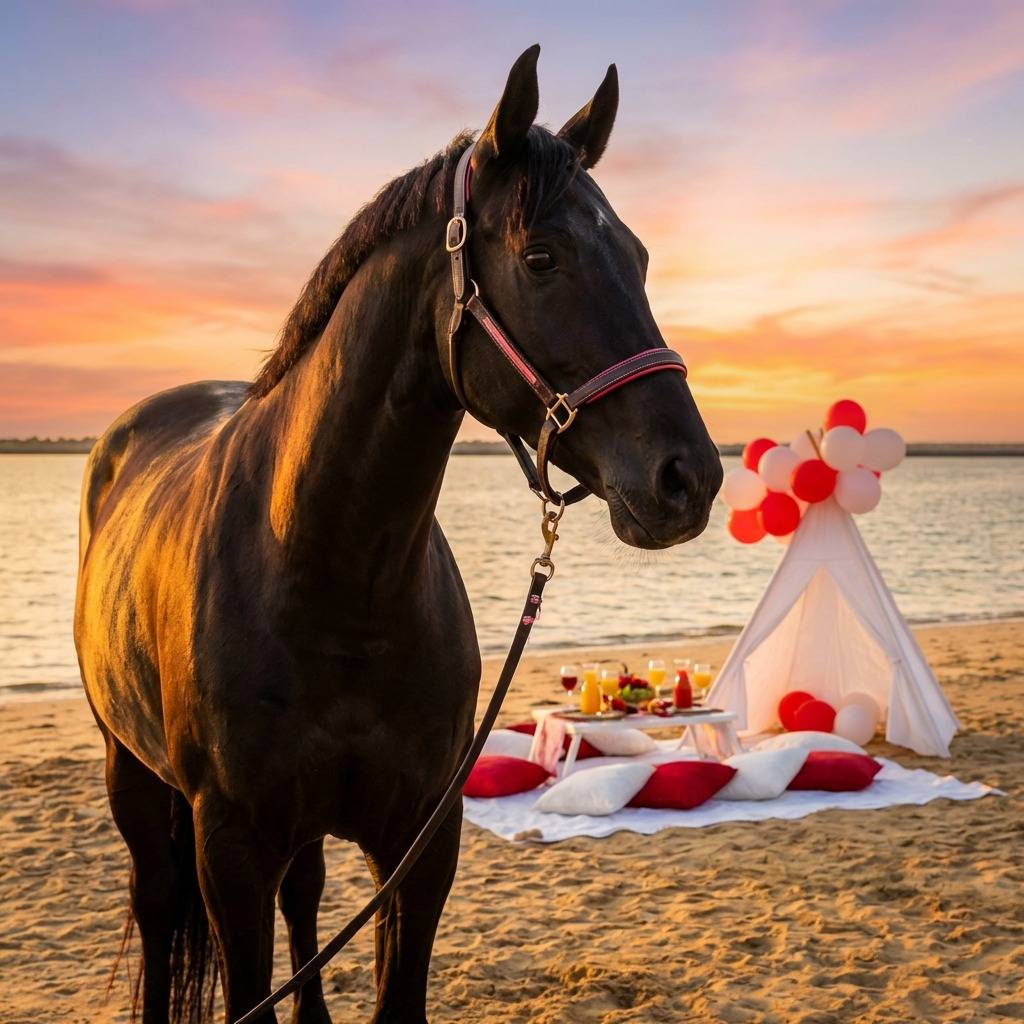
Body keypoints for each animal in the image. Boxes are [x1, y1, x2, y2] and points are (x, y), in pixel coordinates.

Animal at [74, 45, 722, 1024]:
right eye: (541, 256)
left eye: (639, 256)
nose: (691, 478)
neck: (336, 581)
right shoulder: (228, 849)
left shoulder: (422, 839)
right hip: (135, 779)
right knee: (156, 910)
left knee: (304, 898)